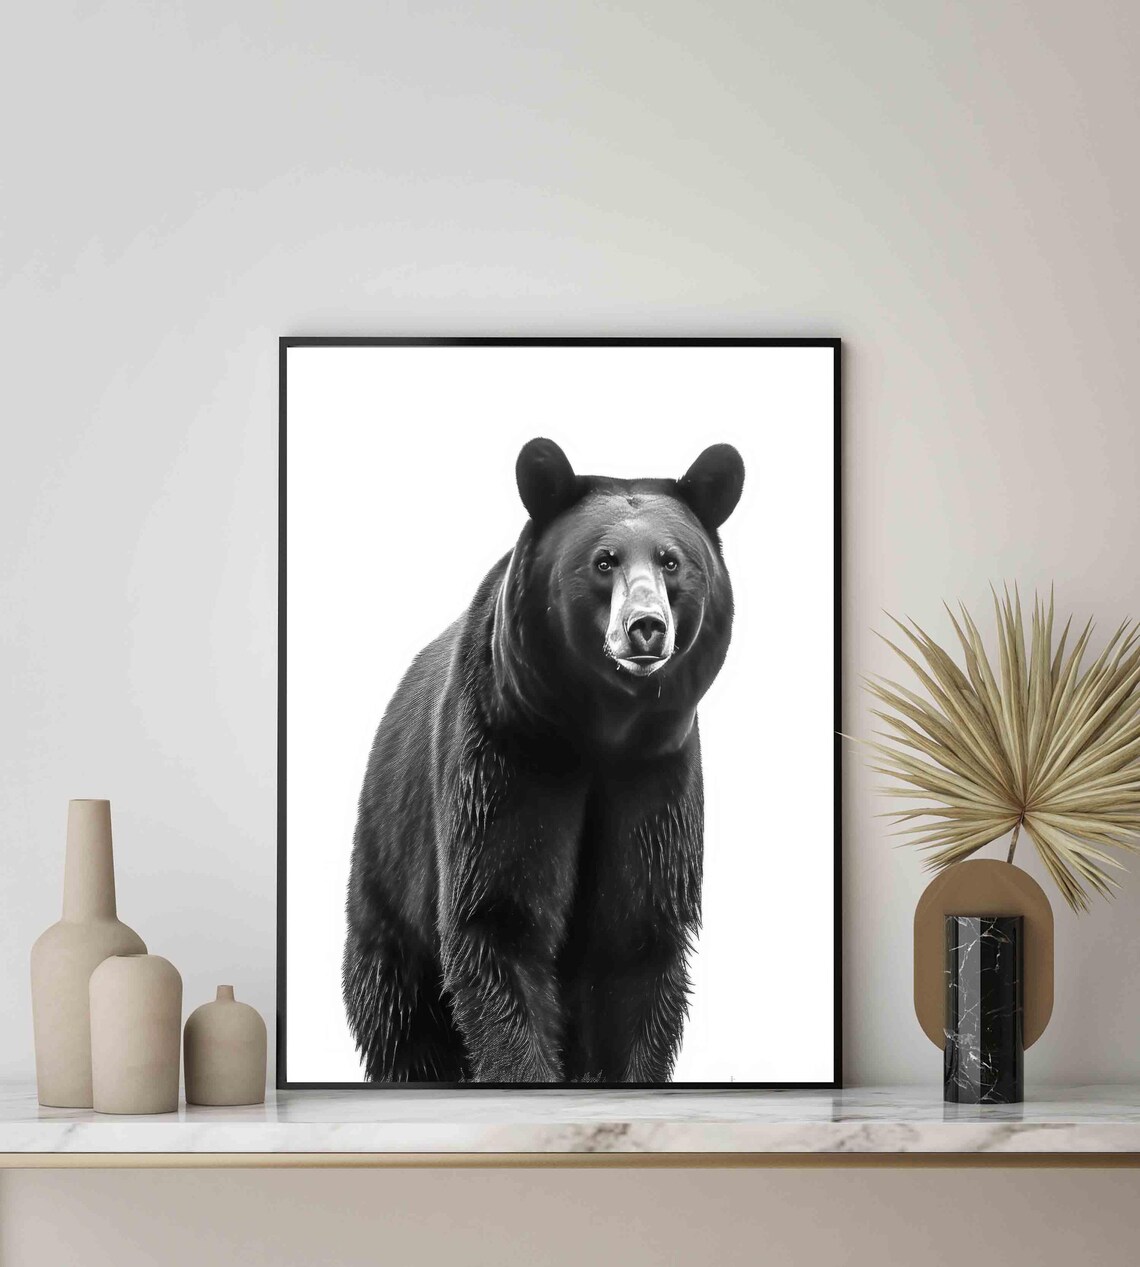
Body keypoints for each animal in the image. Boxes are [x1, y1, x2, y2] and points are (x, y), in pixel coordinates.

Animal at [343, 437, 744, 1083]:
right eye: (604, 561)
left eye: (672, 560)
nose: (646, 627)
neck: (600, 732)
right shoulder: (508, 756)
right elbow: (499, 917)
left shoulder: (656, 776)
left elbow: (637, 937)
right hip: (389, 877)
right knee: (400, 1014)